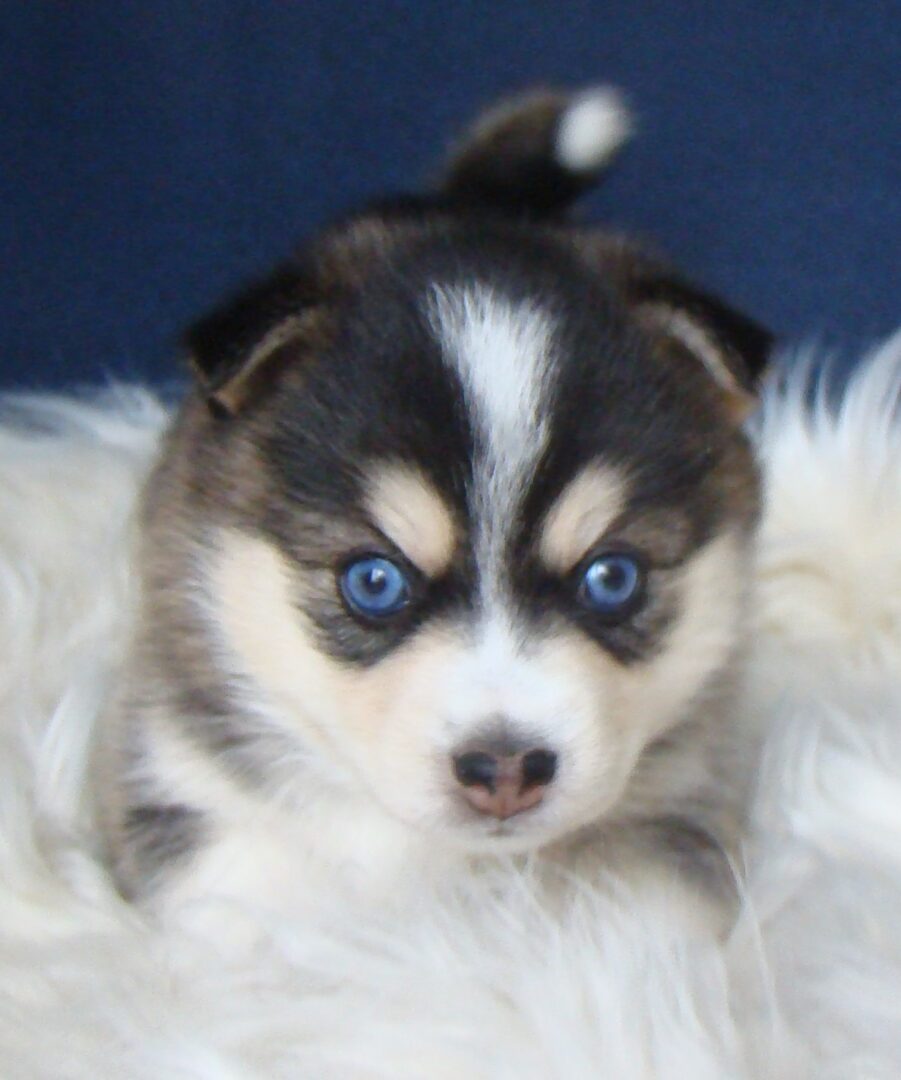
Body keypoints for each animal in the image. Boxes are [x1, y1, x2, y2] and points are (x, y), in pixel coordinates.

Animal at [101, 88, 769, 924]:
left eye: (612, 578)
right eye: (374, 581)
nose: (506, 767)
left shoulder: (677, 809)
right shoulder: (179, 786)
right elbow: (252, 903)